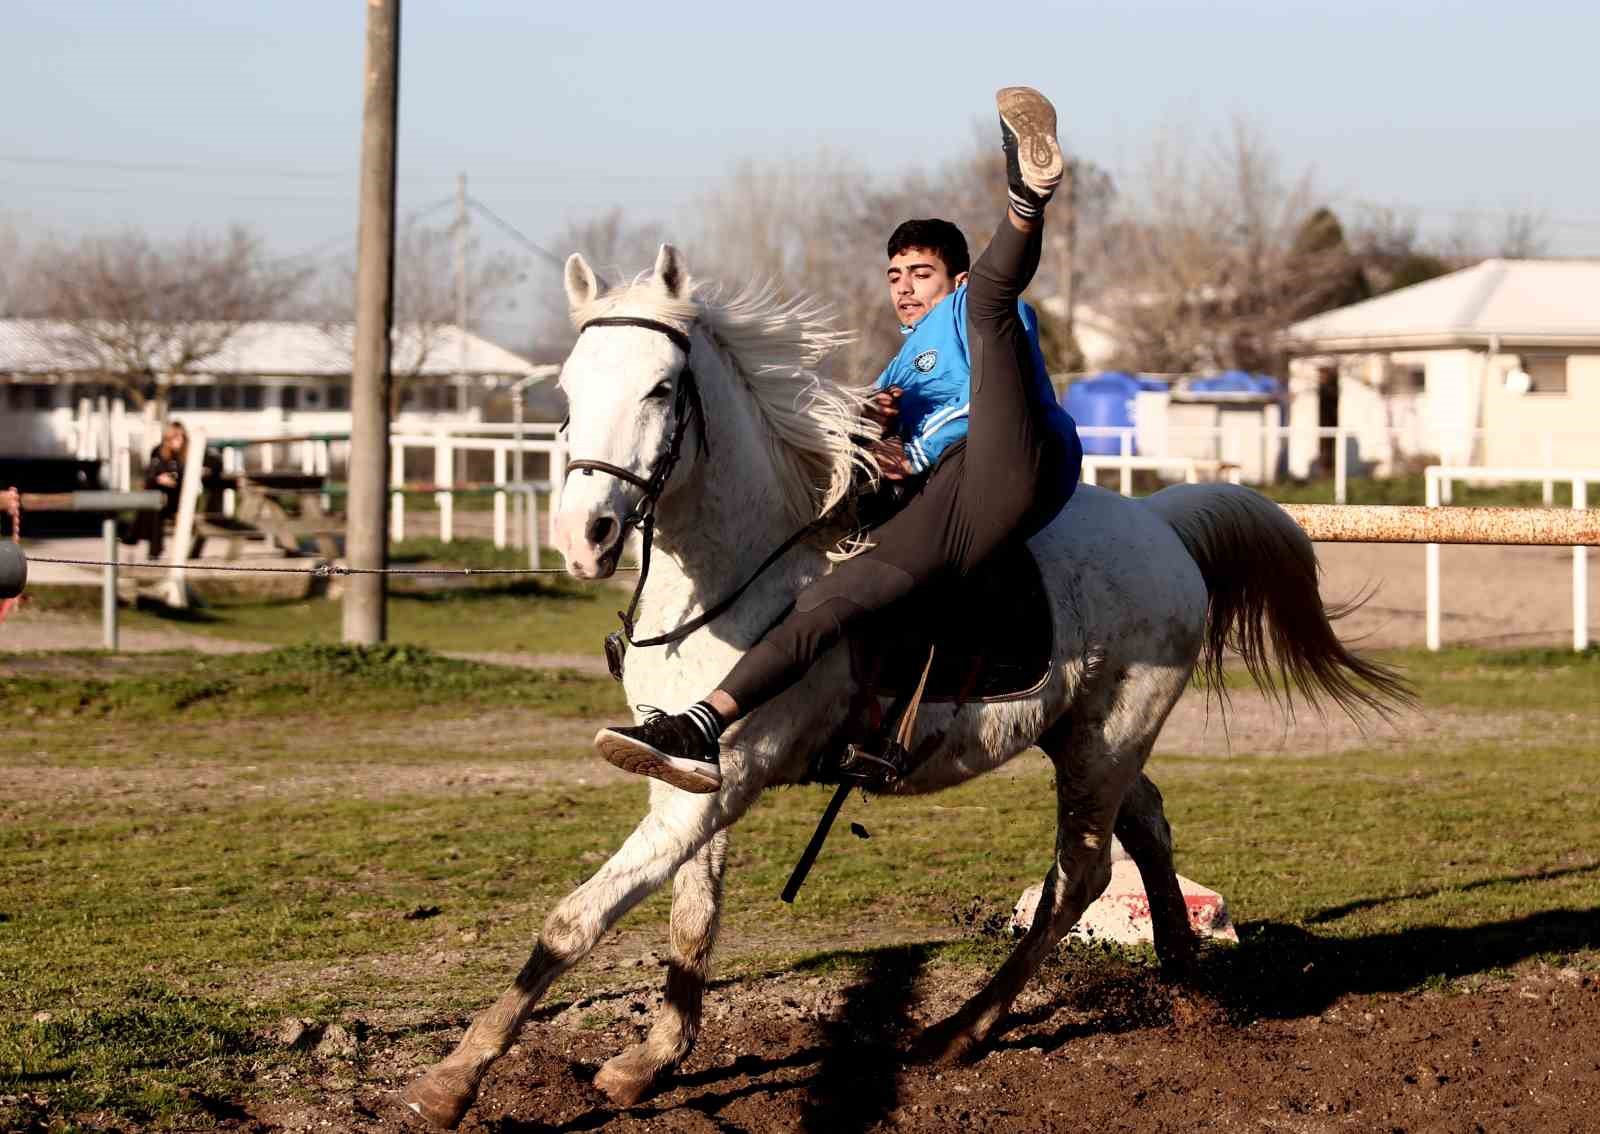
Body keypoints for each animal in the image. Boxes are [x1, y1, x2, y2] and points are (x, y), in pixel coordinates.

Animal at [403, 244, 1414, 1126]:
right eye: (569, 392)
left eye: (659, 388)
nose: (587, 536)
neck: (737, 572)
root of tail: (1162, 522)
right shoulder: (687, 780)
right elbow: (692, 920)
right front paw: (648, 1060)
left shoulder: (722, 782)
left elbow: (577, 920)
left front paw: (451, 1081)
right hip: (1092, 736)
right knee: (1149, 828)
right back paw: (1185, 982)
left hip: (1106, 741)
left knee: (1079, 875)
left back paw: (963, 1032)